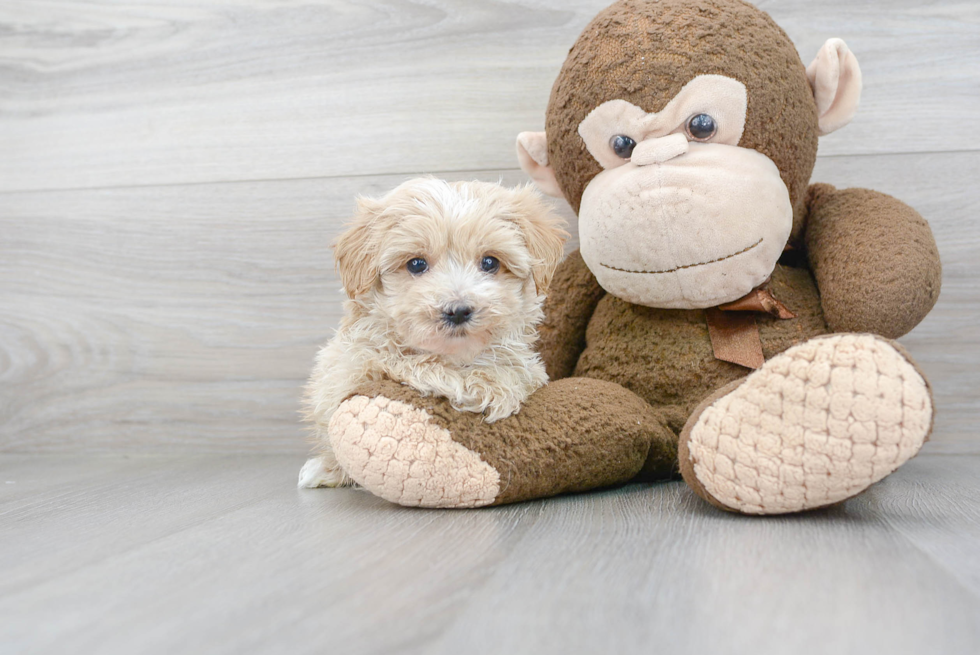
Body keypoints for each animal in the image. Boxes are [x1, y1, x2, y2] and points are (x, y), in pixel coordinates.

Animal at [296, 178, 568, 486]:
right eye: (416, 264)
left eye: (490, 263)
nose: (458, 311)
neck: (455, 355)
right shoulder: (354, 359)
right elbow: (409, 362)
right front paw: (487, 384)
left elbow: (520, 369)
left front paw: (498, 378)